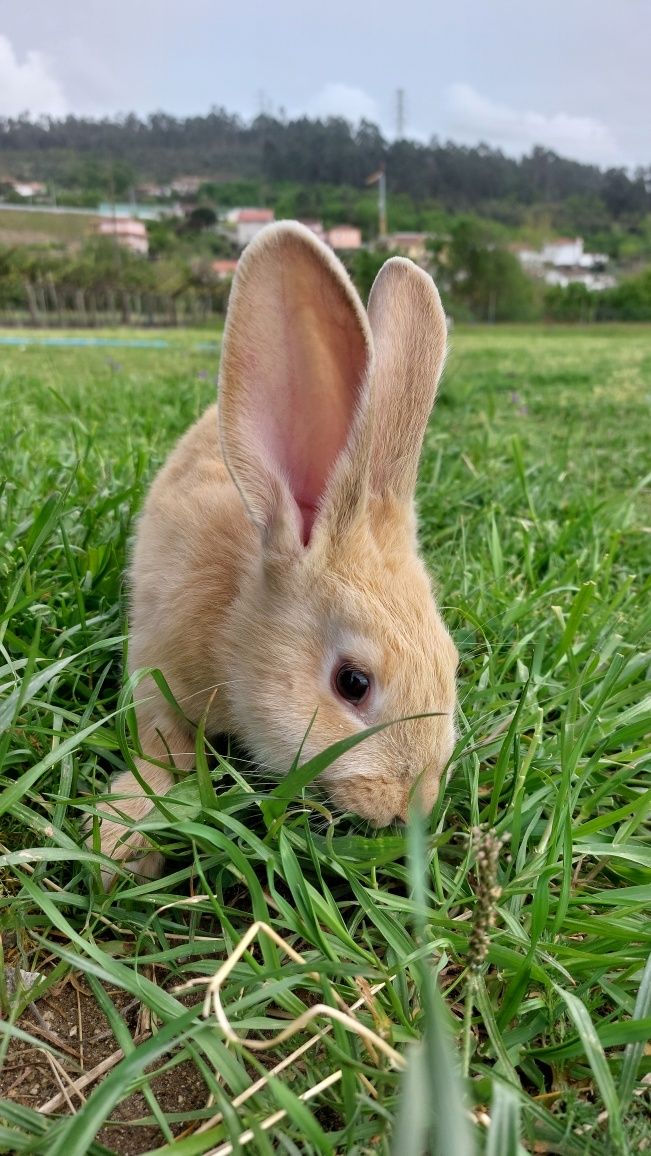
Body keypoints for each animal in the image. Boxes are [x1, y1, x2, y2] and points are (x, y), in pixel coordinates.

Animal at [95, 220, 457, 878]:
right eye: (353, 683)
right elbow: (162, 750)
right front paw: (121, 842)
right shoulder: (155, 674)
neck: (234, 624)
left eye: (453, 661)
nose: (408, 806)